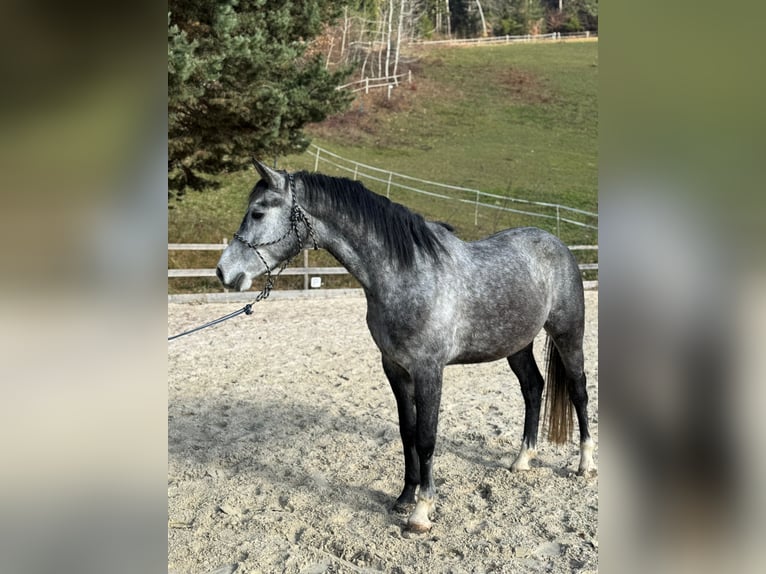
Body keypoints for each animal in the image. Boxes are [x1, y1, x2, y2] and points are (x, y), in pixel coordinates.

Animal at [216, 160, 596, 532]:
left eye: (258, 213)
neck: (406, 274)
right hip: (516, 345)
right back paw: (522, 460)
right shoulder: (395, 368)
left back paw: (584, 465)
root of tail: (557, 244)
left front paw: (421, 513)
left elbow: (426, 437)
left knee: (578, 391)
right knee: (533, 388)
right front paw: (404, 497)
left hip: (568, 335)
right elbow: (407, 432)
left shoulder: (429, 371)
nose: (223, 272)